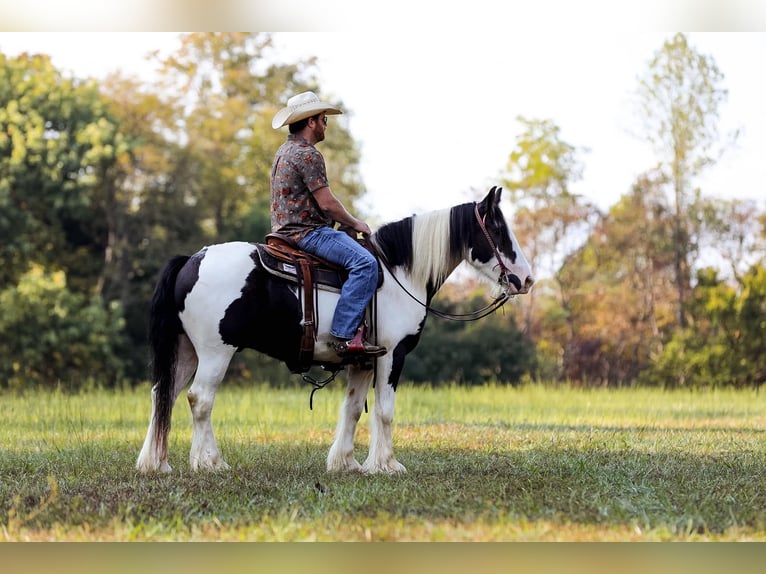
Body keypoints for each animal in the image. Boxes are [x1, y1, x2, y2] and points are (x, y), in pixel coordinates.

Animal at [136, 186, 534, 475]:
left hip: (186, 350)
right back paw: (211, 462)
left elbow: (353, 410)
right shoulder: (393, 355)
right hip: (216, 351)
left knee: (164, 395)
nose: (527, 279)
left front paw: (346, 463)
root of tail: (193, 259)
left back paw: (156, 463)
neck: (398, 272)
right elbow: (385, 411)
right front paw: (387, 465)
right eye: (497, 229)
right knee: (199, 398)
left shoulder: (363, 360)